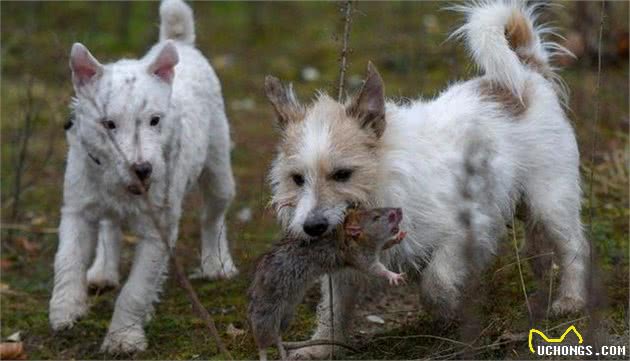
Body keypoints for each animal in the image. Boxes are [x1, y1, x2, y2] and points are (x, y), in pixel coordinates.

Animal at [50, 0, 239, 352]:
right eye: (108, 124)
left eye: (155, 120)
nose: (142, 169)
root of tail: (180, 43)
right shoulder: (77, 210)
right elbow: (68, 258)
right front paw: (65, 308)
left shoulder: (157, 232)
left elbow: (135, 290)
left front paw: (123, 337)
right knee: (110, 226)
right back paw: (102, 270)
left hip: (219, 171)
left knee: (213, 217)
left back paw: (216, 263)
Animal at [266, 0, 588, 358]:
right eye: (297, 179)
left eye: (342, 174)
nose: (312, 227)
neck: (382, 184)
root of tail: (528, 72)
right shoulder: (345, 268)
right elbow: (332, 310)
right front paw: (320, 347)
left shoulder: (467, 229)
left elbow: (437, 281)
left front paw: (449, 311)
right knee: (539, 248)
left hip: (551, 201)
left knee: (573, 248)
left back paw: (570, 299)